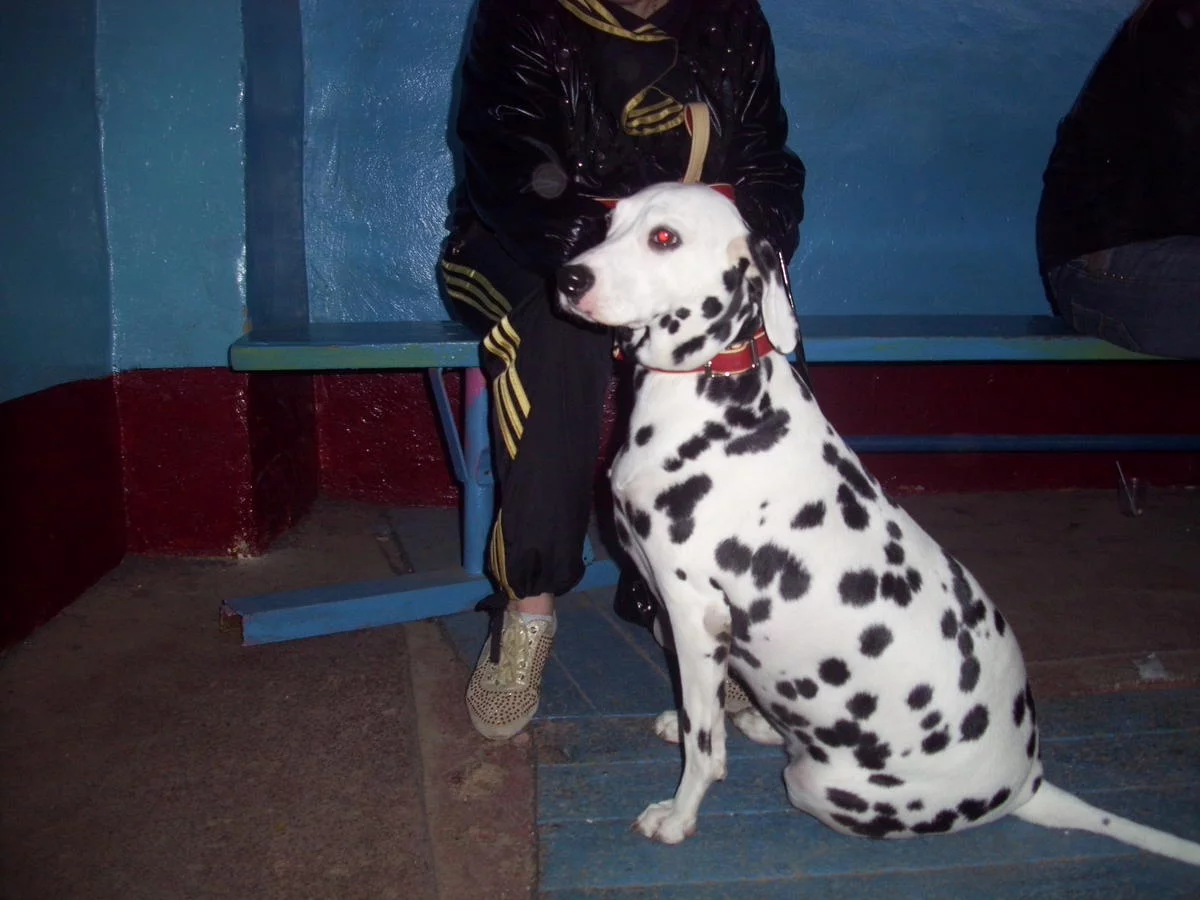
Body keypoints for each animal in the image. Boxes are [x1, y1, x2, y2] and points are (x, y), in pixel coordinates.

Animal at [556, 182, 1200, 865]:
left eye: (664, 238)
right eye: (609, 221)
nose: (568, 277)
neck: (720, 400)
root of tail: (1027, 783)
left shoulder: (695, 613)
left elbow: (703, 746)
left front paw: (680, 814)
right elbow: (690, 708)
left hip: (814, 783)